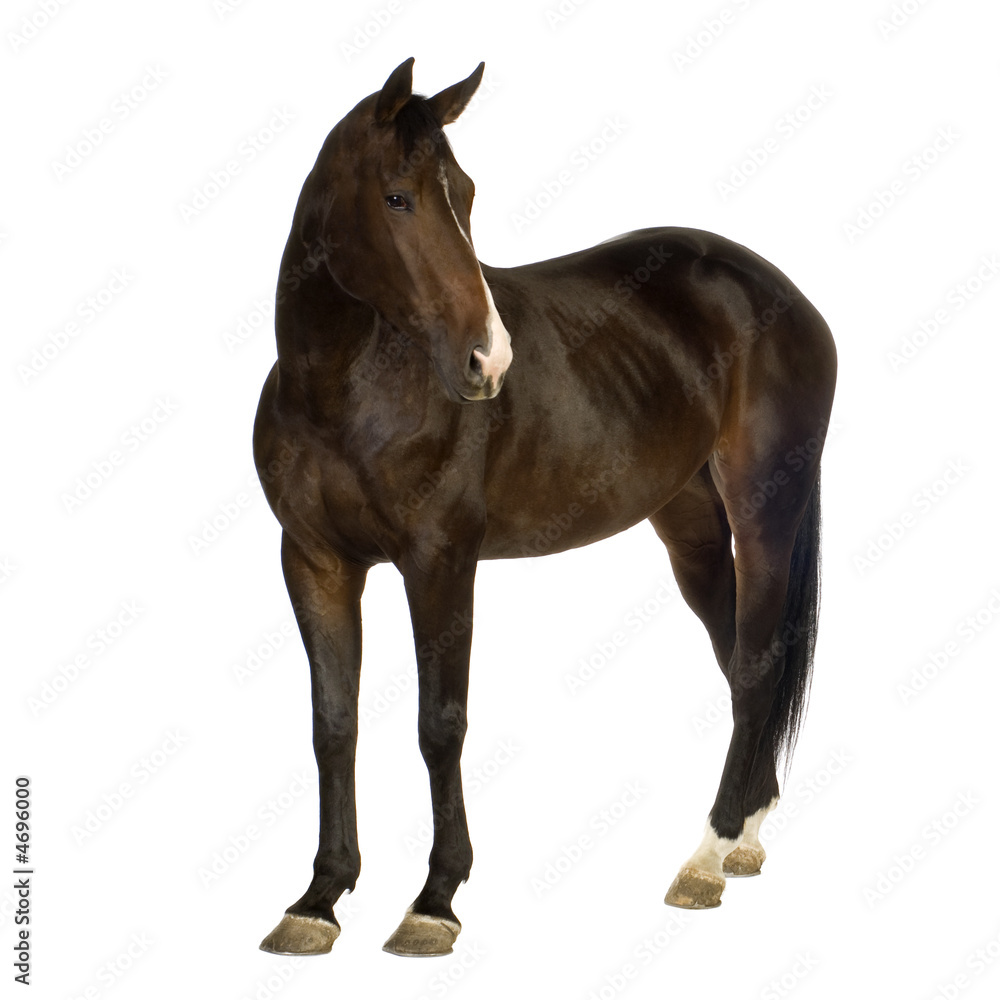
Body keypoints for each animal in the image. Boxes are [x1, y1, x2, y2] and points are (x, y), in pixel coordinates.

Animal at [253, 57, 837, 957]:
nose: (488, 362)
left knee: (755, 667)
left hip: (764, 510)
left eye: (464, 192)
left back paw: (706, 857)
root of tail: (780, 293)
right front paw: (318, 899)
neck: (342, 391)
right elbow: (333, 725)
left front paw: (434, 899)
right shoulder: (313, 561)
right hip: (691, 526)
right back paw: (744, 835)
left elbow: (439, 724)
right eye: (398, 197)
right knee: (739, 657)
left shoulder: (440, 561)